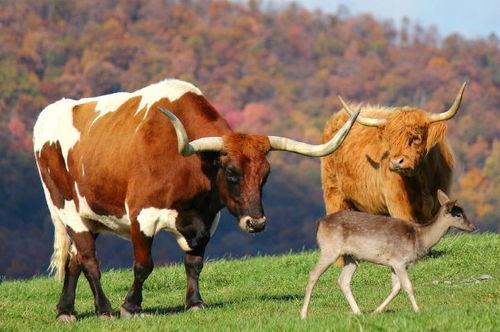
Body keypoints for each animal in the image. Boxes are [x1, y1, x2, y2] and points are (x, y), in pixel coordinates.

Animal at [33, 78, 358, 322]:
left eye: (266, 174)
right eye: (231, 172)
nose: (256, 223)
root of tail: (50, 113)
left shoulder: (206, 220)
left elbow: (195, 262)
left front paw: (195, 303)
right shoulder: (142, 215)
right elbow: (143, 264)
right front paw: (131, 306)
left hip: (89, 215)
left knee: (74, 260)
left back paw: (65, 310)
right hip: (66, 208)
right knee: (89, 260)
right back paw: (104, 309)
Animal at [298, 188, 474, 318]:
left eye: (464, 211)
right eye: (458, 214)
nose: (472, 227)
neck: (418, 238)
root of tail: (319, 223)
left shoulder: (393, 264)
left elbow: (396, 288)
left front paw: (376, 311)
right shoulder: (399, 260)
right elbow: (408, 286)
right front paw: (418, 310)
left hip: (352, 257)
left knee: (343, 280)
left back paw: (358, 312)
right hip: (330, 249)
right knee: (313, 273)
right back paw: (303, 314)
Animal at [322, 82, 466, 223]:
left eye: (416, 137)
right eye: (390, 140)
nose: (396, 162)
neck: (422, 178)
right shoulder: (398, 205)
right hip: (334, 195)